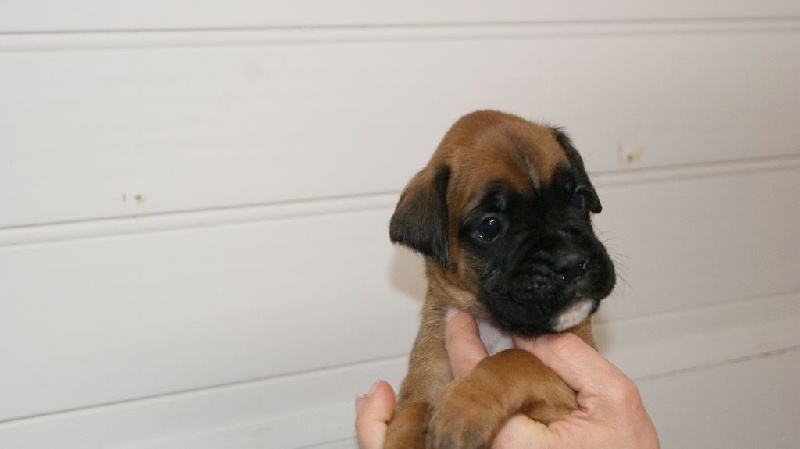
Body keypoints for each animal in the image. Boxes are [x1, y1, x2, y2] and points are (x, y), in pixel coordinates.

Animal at [384, 110, 615, 448]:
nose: (573, 263)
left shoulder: (565, 394)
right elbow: (409, 415)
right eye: (490, 226)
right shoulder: (422, 386)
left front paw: (463, 406)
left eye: (579, 199)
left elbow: (515, 359)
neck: (492, 327)